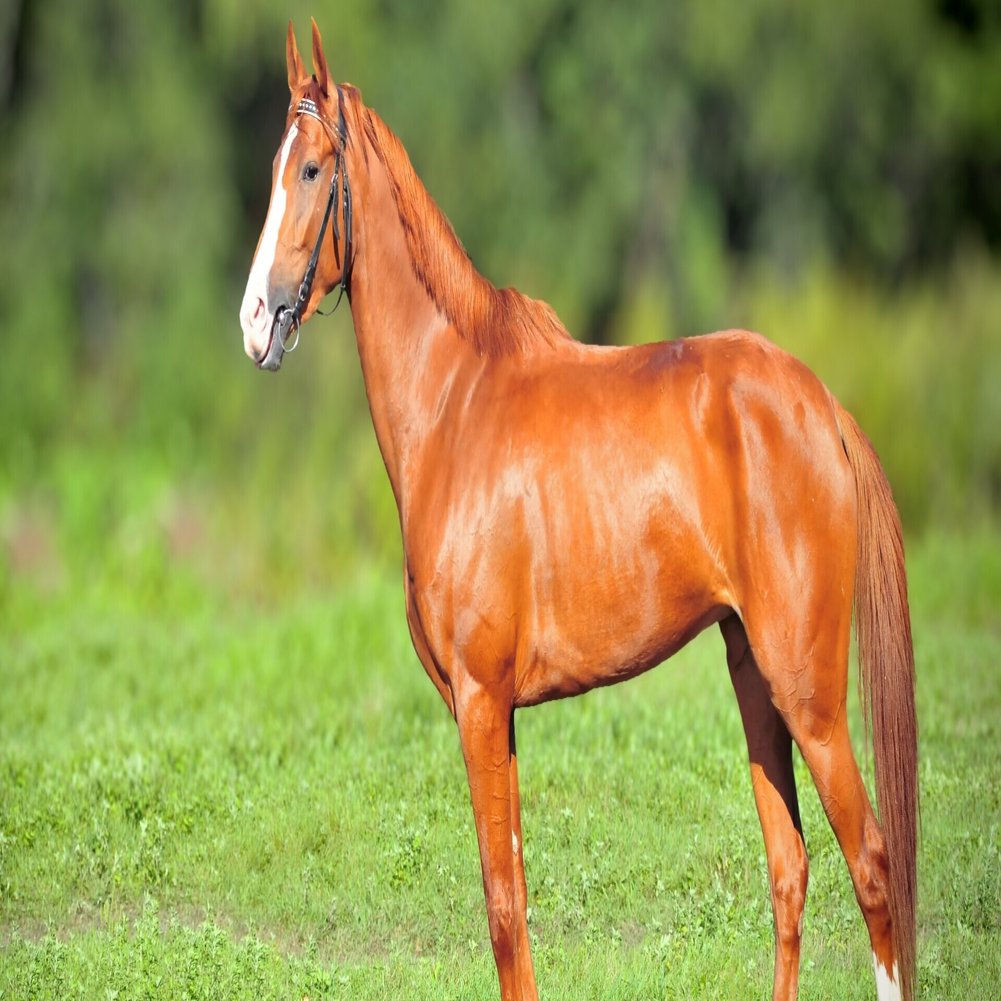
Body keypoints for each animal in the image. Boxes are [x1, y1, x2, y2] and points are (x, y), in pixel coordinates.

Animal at [239, 21, 917, 1001]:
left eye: (313, 170)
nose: (255, 321)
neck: (456, 406)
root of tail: (818, 402)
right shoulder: (501, 715)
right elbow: (517, 893)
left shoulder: (480, 703)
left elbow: (502, 910)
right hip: (753, 677)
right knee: (789, 868)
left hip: (810, 697)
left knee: (869, 863)